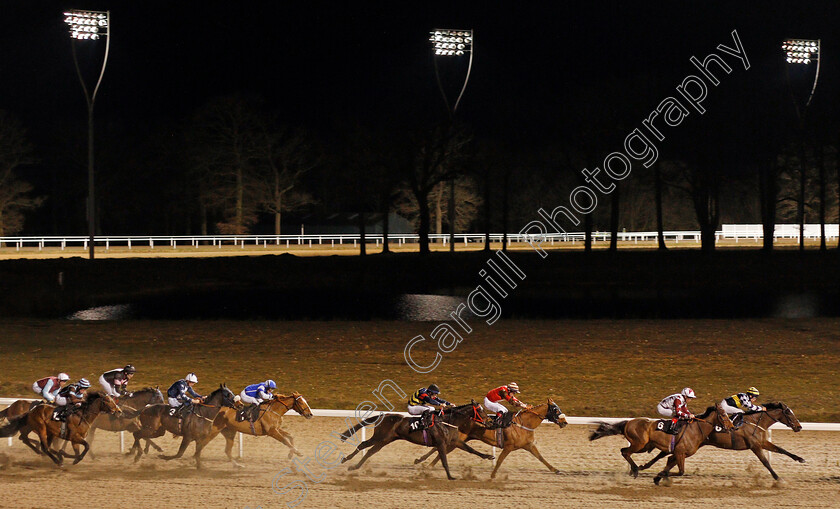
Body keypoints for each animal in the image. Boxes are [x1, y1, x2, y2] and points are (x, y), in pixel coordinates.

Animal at [338, 398, 492, 478]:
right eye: (481, 411)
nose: (490, 422)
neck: (448, 421)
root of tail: (384, 415)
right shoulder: (441, 443)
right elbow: (444, 461)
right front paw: (450, 476)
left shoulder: (455, 441)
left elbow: (471, 449)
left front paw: (488, 456)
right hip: (380, 436)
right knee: (363, 445)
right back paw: (346, 460)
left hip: (385, 440)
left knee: (370, 452)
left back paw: (354, 467)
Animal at [416, 398, 568, 478]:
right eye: (556, 410)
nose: (564, 422)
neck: (524, 424)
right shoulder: (509, 447)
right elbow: (500, 460)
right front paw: (492, 476)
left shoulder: (528, 445)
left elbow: (541, 457)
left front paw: (556, 470)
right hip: (458, 440)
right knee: (440, 449)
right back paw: (424, 463)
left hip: (461, 440)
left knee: (440, 450)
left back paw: (424, 462)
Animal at [588, 400, 732, 484]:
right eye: (723, 414)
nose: (731, 427)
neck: (696, 429)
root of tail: (628, 422)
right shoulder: (679, 452)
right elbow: (680, 471)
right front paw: (660, 476)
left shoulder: (680, 454)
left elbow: (669, 466)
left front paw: (658, 477)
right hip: (639, 444)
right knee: (625, 452)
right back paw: (635, 470)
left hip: (643, 446)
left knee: (624, 451)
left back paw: (635, 469)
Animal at [636, 398, 808, 478]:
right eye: (789, 413)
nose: (799, 427)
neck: (755, 421)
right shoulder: (755, 445)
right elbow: (765, 462)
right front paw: (777, 478)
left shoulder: (762, 442)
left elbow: (781, 449)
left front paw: (800, 459)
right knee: (663, 454)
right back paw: (642, 468)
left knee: (665, 454)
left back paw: (644, 467)